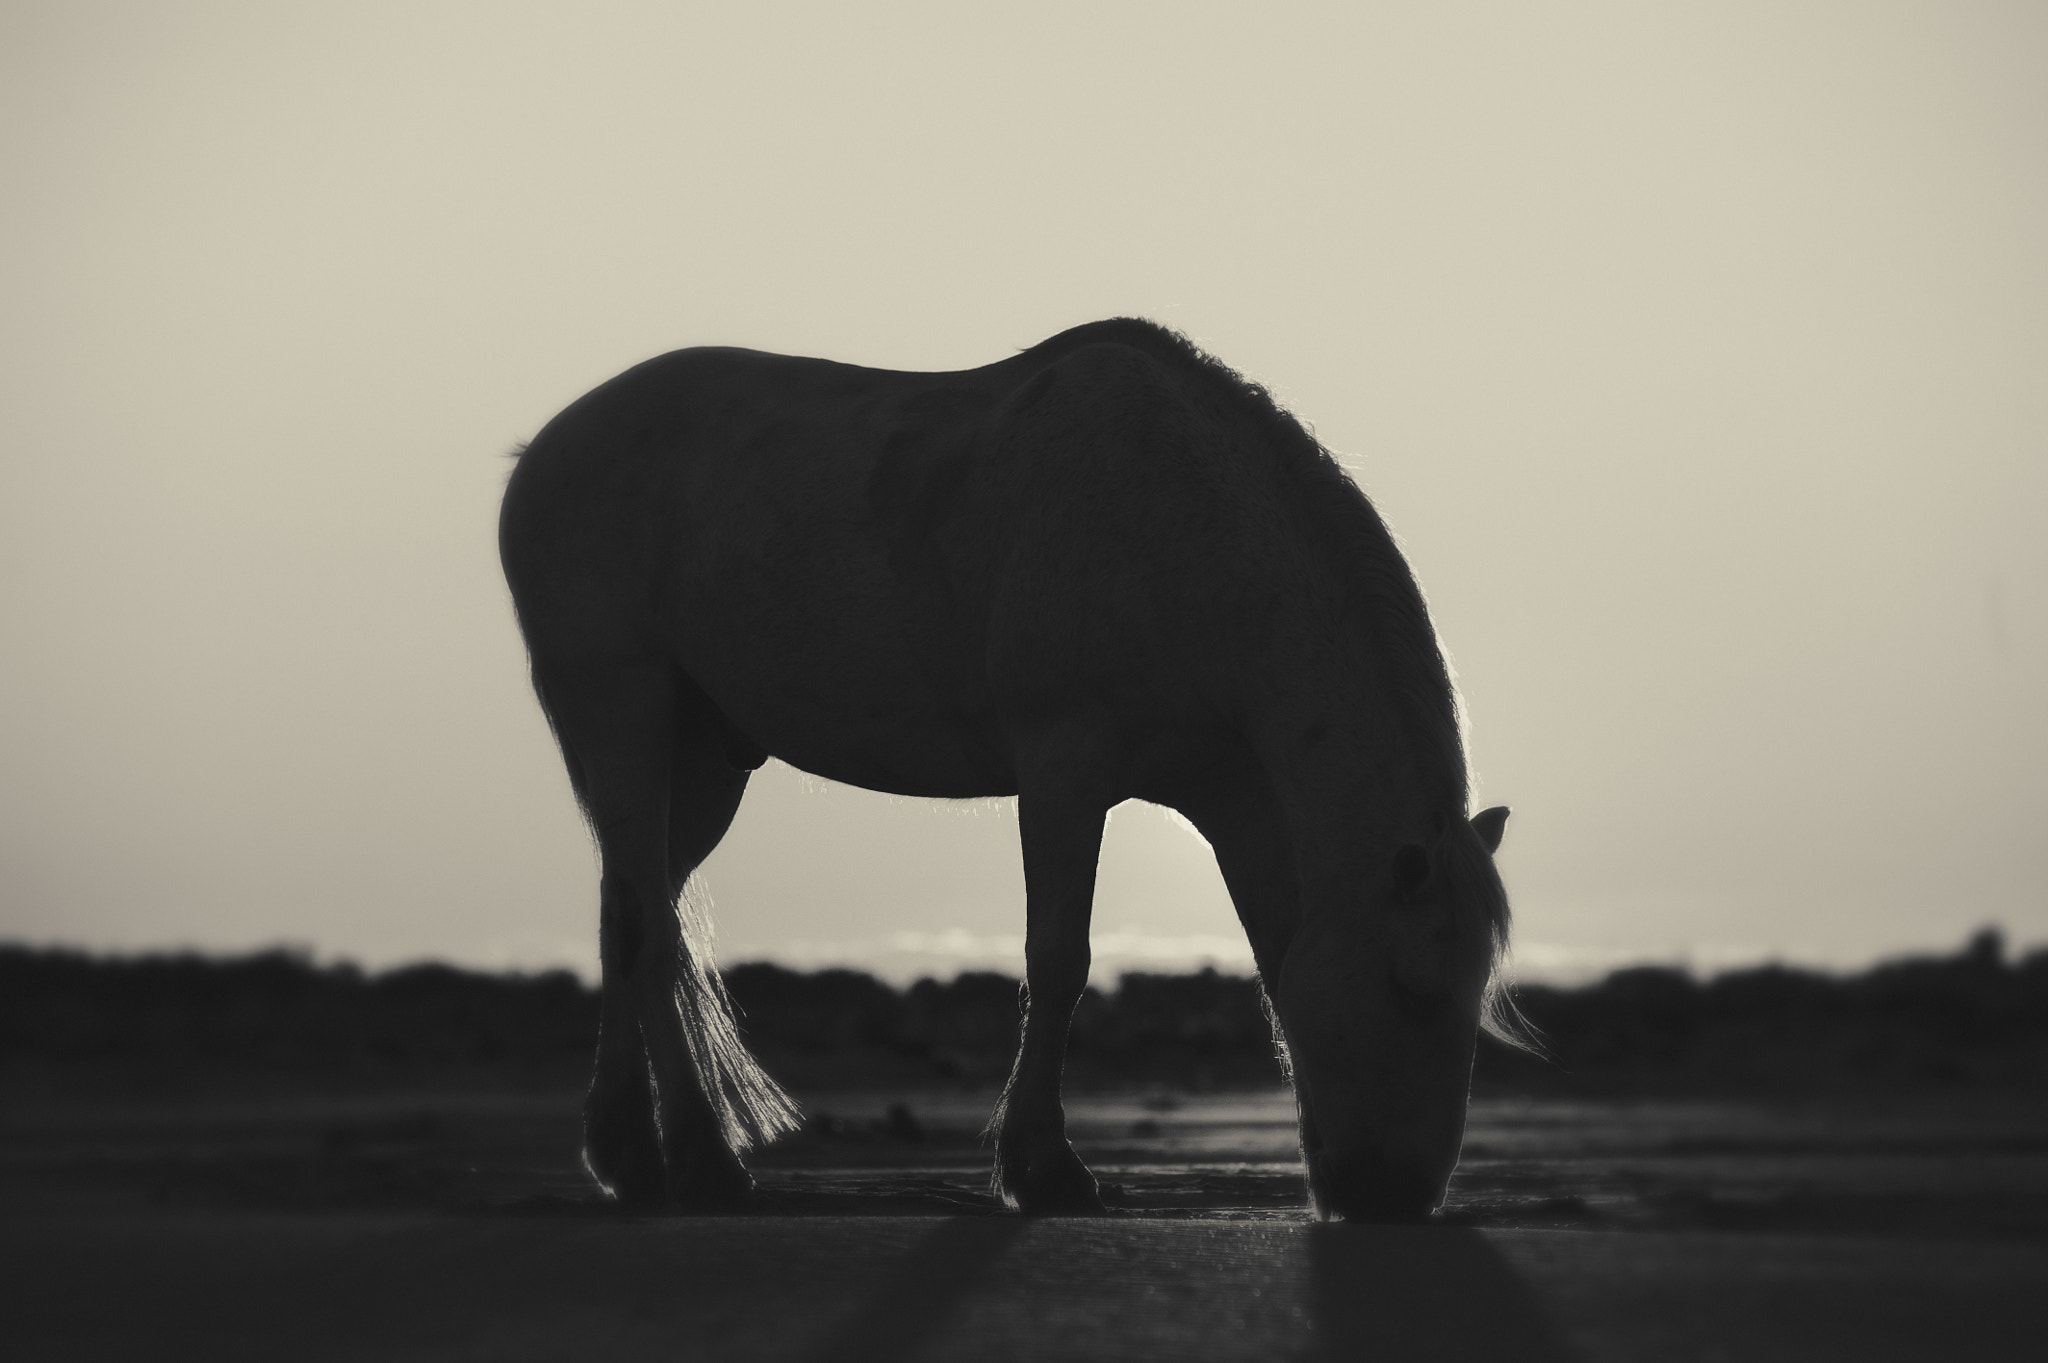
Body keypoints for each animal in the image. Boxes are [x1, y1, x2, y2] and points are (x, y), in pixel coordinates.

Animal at [498, 318, 1519, 1221]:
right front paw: (1044, 1170)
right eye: (1411, 986)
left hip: (704, 764)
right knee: (651, 934)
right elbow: (1059, 958)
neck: (1182, 535)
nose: (1400, 1198)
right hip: (623, 714)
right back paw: (704, 1166)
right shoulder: (1065, 767)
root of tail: (542, 452)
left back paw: (629, 1157)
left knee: (628, 917)